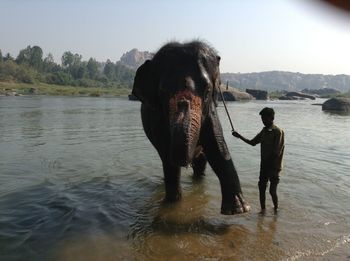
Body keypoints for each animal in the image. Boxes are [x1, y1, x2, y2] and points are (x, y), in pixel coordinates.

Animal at [131, 39, 249, 212]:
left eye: (207, 90)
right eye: (162, 91)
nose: (183, 103)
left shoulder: (210, 110)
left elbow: (217, 145)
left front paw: (238, 210)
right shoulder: (157, 118)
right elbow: (168, 156)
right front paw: (173, 203)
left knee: (201, 163)